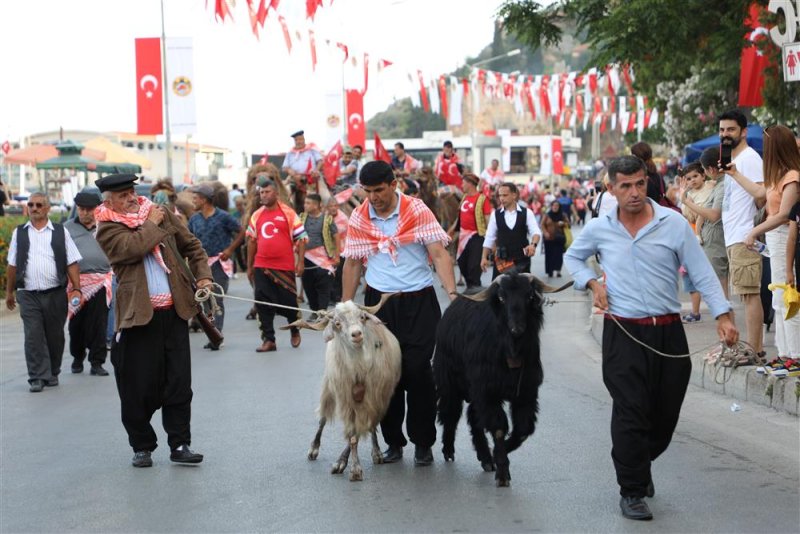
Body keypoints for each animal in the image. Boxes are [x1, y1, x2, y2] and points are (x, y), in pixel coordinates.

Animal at [286, 300, 400, 484]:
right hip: (329, 386)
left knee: (370, 426)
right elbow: (352, 433)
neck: (358, 370)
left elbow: (359, 431)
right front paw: (351, 467)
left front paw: (350, 466)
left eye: (362, 317)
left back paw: (376, 453)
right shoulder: (346, 398)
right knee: (323, 419)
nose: (357, 334)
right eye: (337, 323)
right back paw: (313, 449)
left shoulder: (375, 398)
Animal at [434, 274, 572, 488]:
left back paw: (485, 458)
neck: (510, 351)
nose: (517, 329)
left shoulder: (525, 392)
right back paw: (448, 450)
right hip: (450, 380)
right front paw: (502, 473)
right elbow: (499, 427)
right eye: (501, 297)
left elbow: (522, 429)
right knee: (451, 412)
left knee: (473, 416)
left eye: (529, 296)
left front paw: (497, 455)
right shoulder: (487, 391)